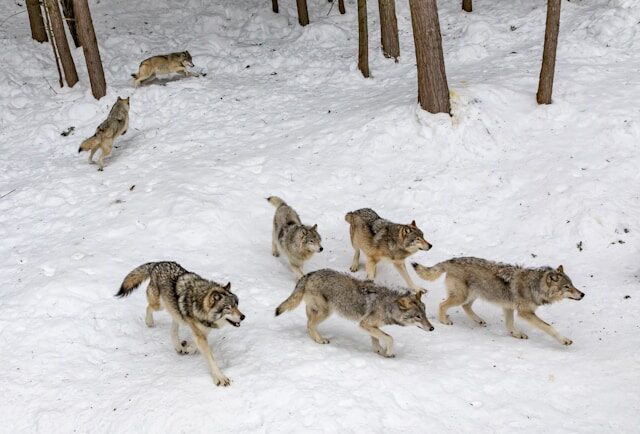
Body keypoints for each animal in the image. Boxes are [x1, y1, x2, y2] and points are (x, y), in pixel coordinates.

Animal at [116, 262, 244, 386]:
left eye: (236, 305)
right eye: (228, 308)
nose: (243, 317)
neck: (199, 303)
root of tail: (157, 264)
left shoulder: (203, 331)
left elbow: (195, 345)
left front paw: (189, 349)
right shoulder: (200, 334)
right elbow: (210, 358)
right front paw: (220, 378)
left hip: (175, 313)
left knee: (173, 329)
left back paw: (179, 346)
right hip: (159, 306)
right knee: (149, 307)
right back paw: (149, 322)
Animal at [276, 270, 436, 358]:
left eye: (425, 314)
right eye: (418, 316)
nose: (432, 328)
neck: (388, 305)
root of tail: (309, 274)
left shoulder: (371, 326)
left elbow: (377, 339)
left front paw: (380, 351)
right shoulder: (364, 324)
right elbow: (389, 338)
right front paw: (389, 352)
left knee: (308, 324)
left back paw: (316, 338)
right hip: (326, 312)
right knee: (310, 325)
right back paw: (320, 340)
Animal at [410, 258, 584, 346]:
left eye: (573, 284)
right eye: (567, 287)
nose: (582, 294)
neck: (534, 286)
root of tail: (450, 260)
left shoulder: (508, 308)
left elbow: (510, 324)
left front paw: (516, 334)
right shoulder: (525, 313)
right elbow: (549, 327)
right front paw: (565, 340)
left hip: (473, 295)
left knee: (466, 307)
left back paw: (479, 320)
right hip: (462, 296)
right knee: (442, 305)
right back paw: (444, 321)